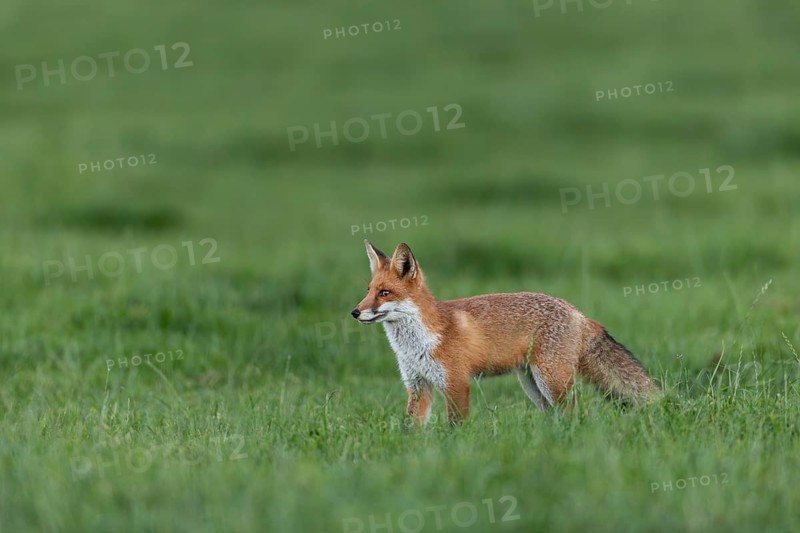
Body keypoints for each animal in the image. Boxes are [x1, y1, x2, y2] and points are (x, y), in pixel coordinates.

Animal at [351, 240, 660, 426]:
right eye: (368, 291)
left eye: (384, 293)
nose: (355, 312)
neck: (418, 343)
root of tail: (578, 312)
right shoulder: (418, 385)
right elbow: (411, 428)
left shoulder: (457, 383)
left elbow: (455, 428)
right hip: (534, 385)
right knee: (557, 416)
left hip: (551, 380)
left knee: (573, 412)